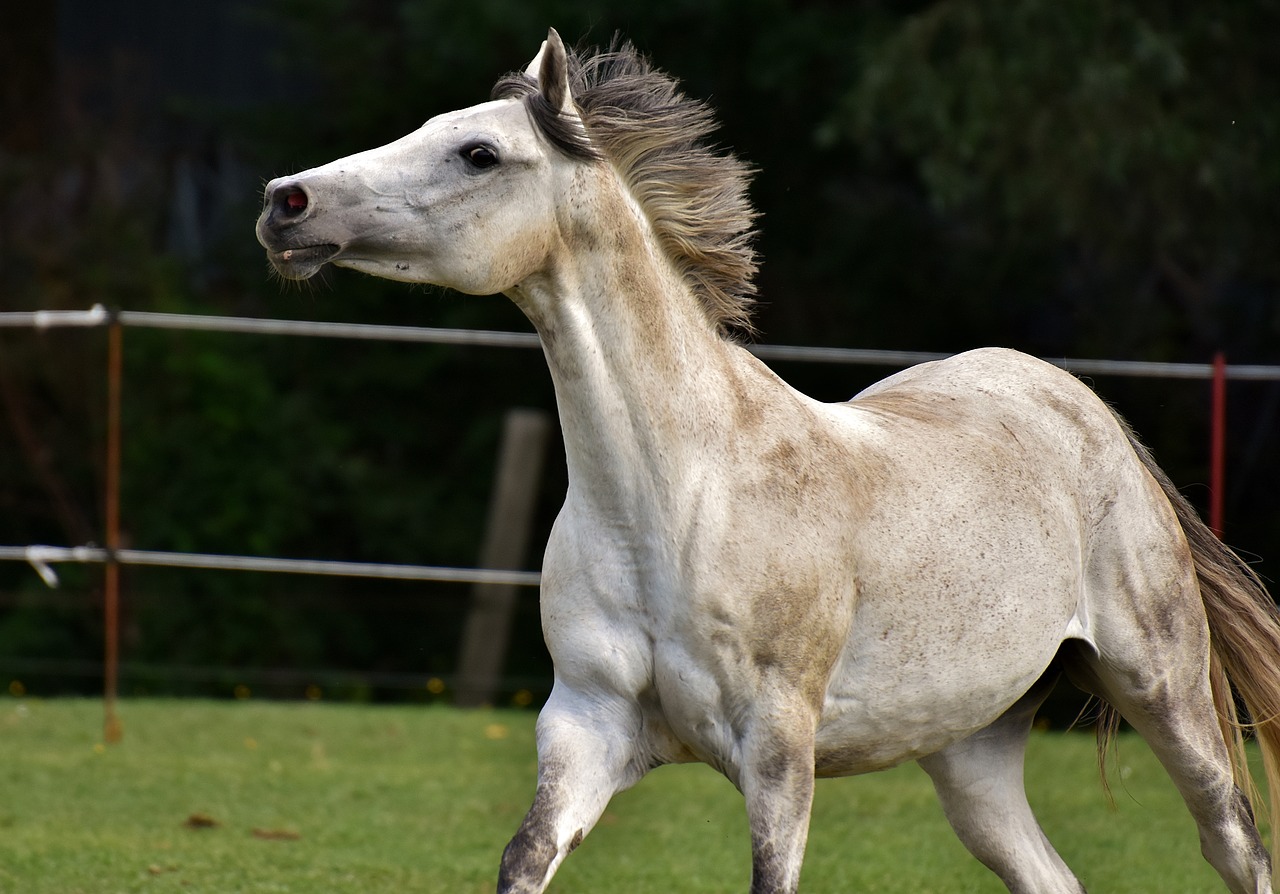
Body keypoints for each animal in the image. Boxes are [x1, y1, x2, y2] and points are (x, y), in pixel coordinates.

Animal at [257, 29, 1280, 891]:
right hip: (971, 750)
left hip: (1163, 691)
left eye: (478, 154)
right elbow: (525, 858)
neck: (676, 499)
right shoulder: (584, 726)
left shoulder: (780, 745)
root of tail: (1085, 409)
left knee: (1236, 844)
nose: (284, 203)